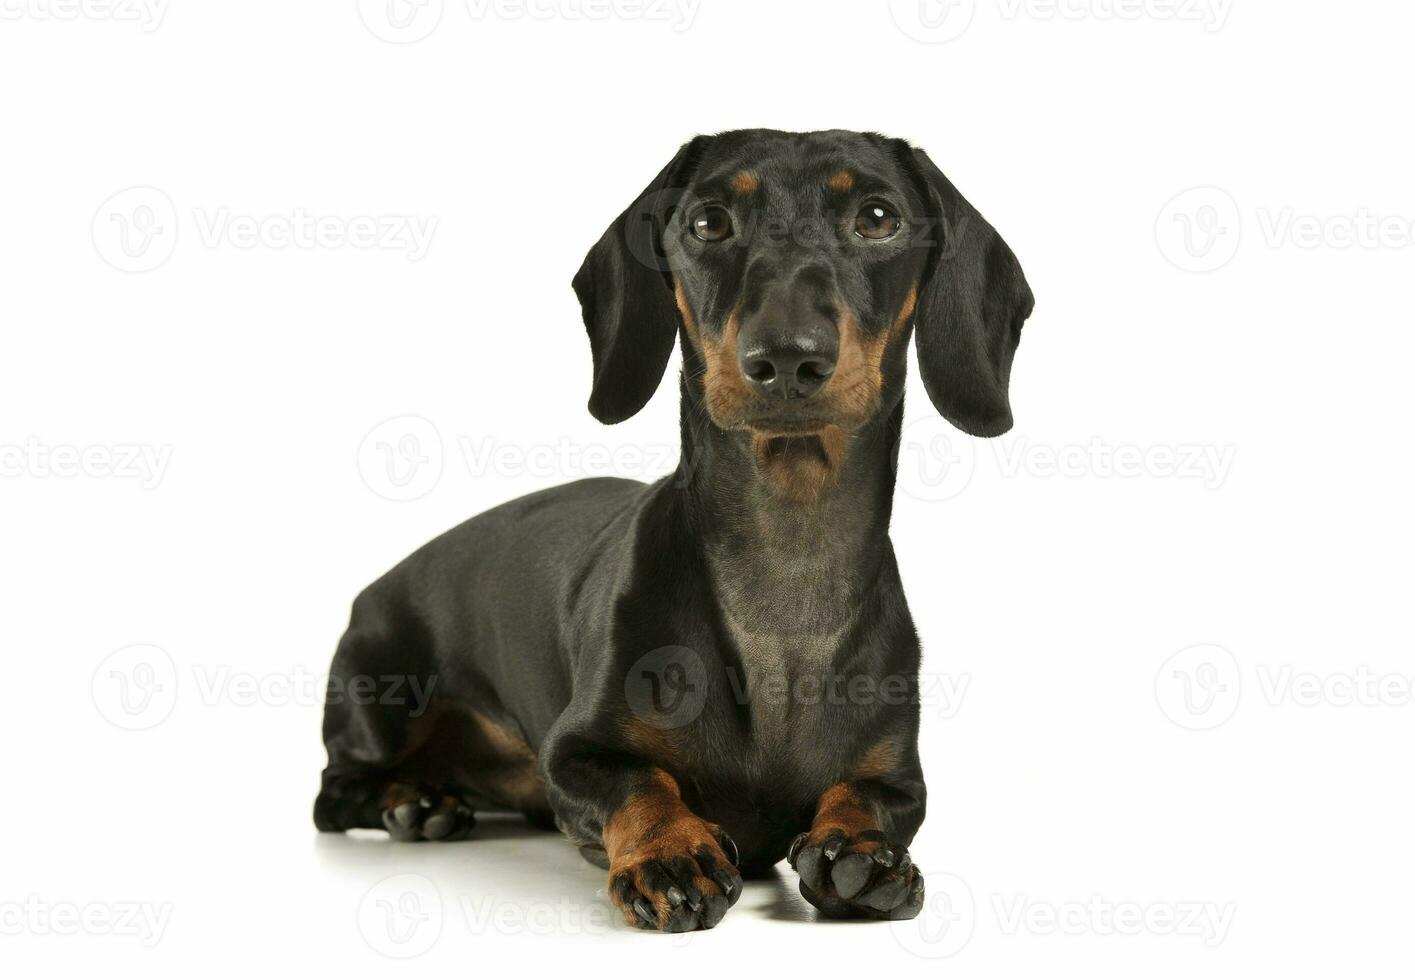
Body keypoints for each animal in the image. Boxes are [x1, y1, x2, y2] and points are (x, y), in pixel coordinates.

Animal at [315, 130, 1035, 933]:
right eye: (707, 222)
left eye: (878, 217)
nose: (786, 357)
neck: (784, 586)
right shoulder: (573, 754)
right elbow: (639, 783)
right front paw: (670, 853)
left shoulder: (901, 778)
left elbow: (869, 798)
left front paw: (860, 850)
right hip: (380, 700)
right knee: (336, 792)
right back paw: (416, 803)